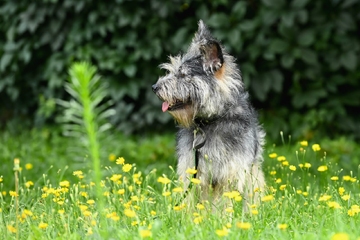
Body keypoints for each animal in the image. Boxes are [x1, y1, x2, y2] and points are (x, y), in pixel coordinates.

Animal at [151, 20, 264, 208]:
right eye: (172, 70)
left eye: (183, 74)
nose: (154, 87)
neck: (209, 122)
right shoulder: (193, 171)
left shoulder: (229, 174)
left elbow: (223, 204)